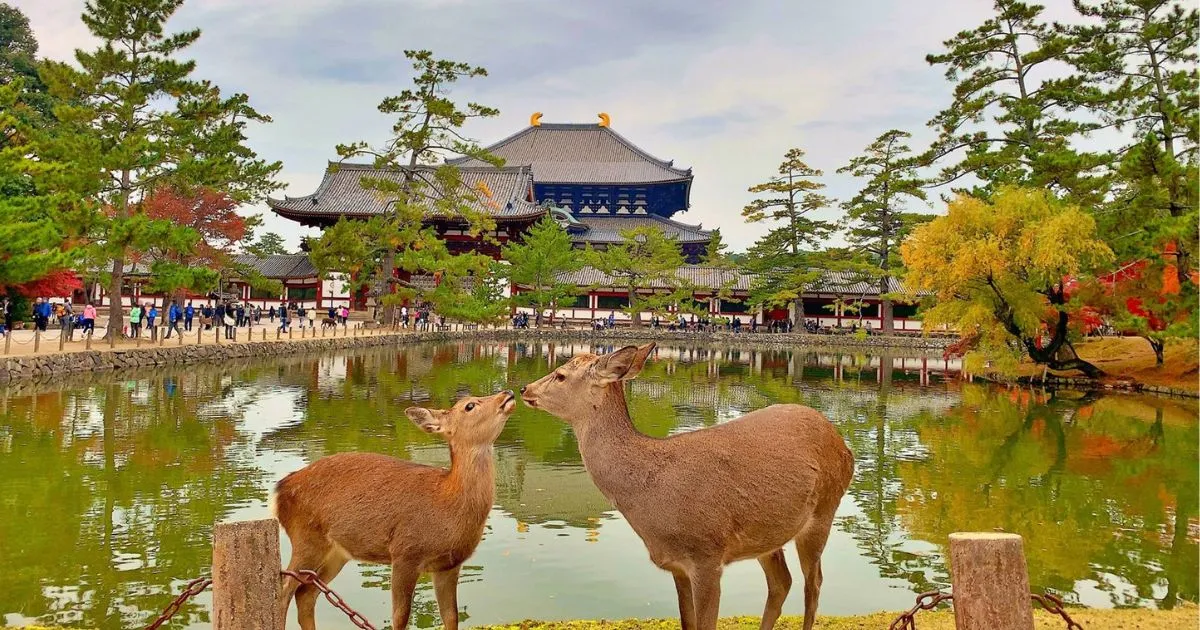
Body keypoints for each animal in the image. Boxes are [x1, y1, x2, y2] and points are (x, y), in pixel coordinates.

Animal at [271, 390, 517, 630]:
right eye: (469, 405)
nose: (508, 393)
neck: (447, 503)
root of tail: (279, 490)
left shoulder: (448, 566)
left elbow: (451, 617)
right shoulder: (404, 553)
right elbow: (400, 618)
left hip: (337, 552)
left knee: (306, 593)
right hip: (306, 538)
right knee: (284, 592)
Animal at [520, 343, 854, 630]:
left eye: (561, 375)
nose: (524, 389)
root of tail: (844, 447)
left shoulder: (708, 555)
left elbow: (706, 623)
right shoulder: (676, 564)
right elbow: (687, 622)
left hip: (824, 510)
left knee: (814, 583)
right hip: (768, 534)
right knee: (781, 582)